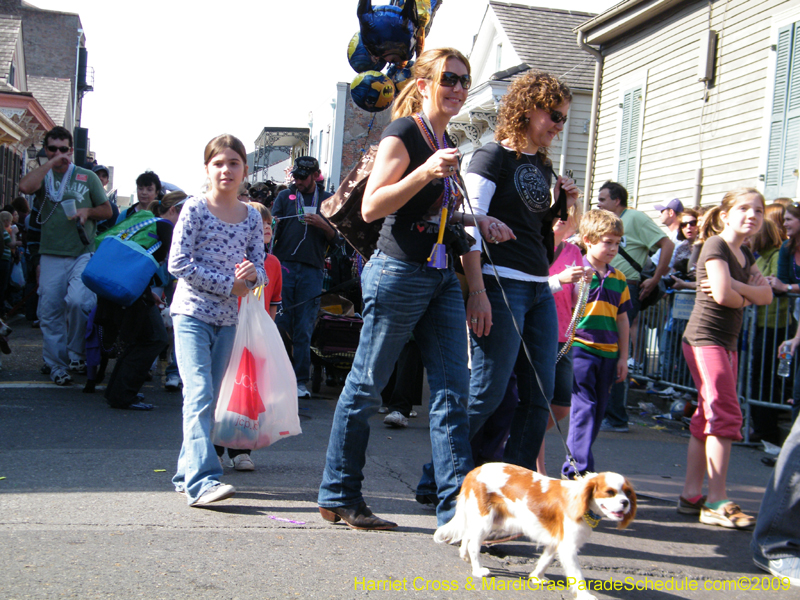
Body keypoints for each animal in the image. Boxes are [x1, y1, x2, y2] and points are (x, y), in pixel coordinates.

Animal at [434, 464, 636, 600]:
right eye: (610, 492)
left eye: (627, 493)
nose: (626, 503)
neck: (581, 500)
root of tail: (474, 471)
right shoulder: (568, 548)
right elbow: (578, 575)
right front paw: (585, 595)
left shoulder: (556, 542)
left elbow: (545, 561)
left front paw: (536, 578)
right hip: (485, 521)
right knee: (474, 545)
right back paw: (477, 569)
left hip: (490, 520)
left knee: (467, 536)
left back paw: (465, 556)